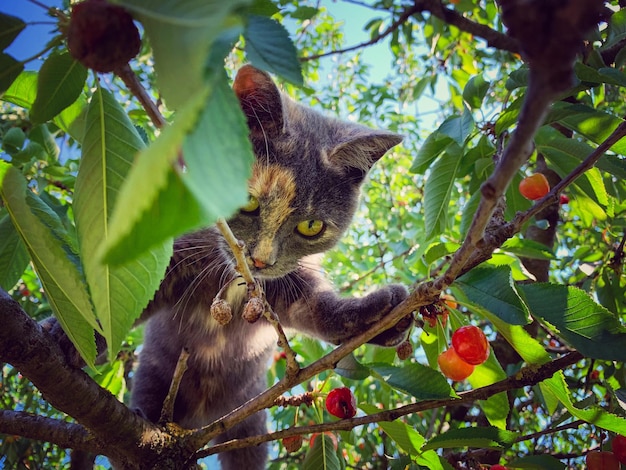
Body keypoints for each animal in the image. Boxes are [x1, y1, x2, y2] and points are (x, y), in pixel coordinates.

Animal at [130, 64, 412, 468]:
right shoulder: (181, 250)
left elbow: (317, 308)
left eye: (311, 226)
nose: (260, 260)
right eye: (244, 200)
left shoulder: (288, 285)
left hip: (247, 421)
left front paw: (379, 315)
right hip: (156, 379)